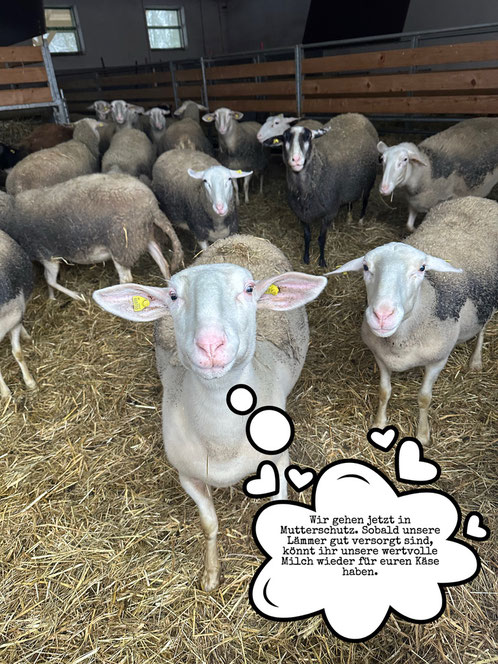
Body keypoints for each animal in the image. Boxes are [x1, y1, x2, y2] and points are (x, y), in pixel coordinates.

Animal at [0, 173, 183, 301]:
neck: (12, 212)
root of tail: (152, 206)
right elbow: (49, 281)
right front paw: (52, 298)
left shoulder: (46, 254)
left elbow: (49, 279)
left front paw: (76, 296)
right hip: (140, 236)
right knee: (163, 262)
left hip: (121, 244)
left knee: (126, 279)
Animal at [93, 233, 327, 589]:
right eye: (173, 295)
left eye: (249, 289)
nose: (210, 345)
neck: (222, 441)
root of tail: (242, 237)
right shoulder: (187, 475)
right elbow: (209, 524)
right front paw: (211, 575)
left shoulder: (279, 463)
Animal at [271, 113, 379, 268]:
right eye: (285, 138)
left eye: (308, 137)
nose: (295, 159)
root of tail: (355, 115)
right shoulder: (302, 214)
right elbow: (307, 236)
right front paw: (306, 258)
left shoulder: (328, 212)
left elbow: (321, 238)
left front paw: (322, 261)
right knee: (350, 201)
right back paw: (348, 217)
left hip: (369, 181)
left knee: (365, 200)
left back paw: (360, 220)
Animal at [329, 196, 498, 444]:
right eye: (366, 267)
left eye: (421, 268)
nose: (382, 315)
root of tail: (478, 199)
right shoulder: (381, 356)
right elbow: (384, 391)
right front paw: (379, 423)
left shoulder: (438, 360)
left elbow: (424, 398)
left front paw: (423, 434)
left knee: (484, 327)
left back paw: (475, 361)